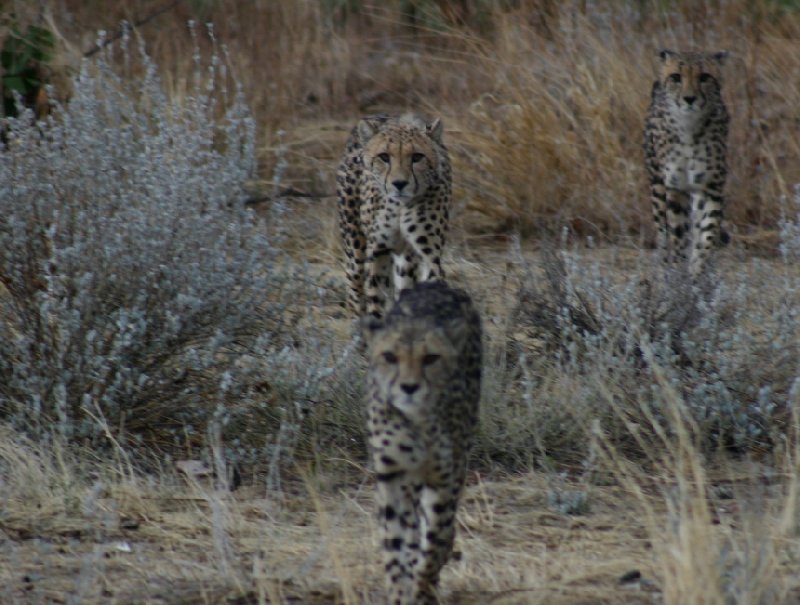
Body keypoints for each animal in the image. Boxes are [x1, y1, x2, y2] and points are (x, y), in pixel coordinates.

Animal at [334, 114, 454, 320]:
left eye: (417, 157)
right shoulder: (378, 250)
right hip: (355, 246)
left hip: (405, 258)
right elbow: (375, 294)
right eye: (384, 157)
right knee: (354, 287)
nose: (399, 183)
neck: (399, 206)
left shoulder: (428, 251)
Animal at [362, 284, 482, 604]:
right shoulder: (391, 474)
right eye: (390, 356)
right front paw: (400, 590)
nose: (409, 387)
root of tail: (437, 285)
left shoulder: (444, 477)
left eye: (431, 358)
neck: (415, 421)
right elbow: (395, 545)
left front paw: (423, 586)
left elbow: (435, 542)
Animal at [644, 49, 732, 276]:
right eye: (676, 77)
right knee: (663, 233)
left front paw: (698, 272)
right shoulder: (675, 188)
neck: (690, 128)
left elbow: (707, 234)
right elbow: (677, 235)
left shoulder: (710, 187)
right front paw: (678, 271)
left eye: (704, 77)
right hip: (657, 187)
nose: (689, 99)